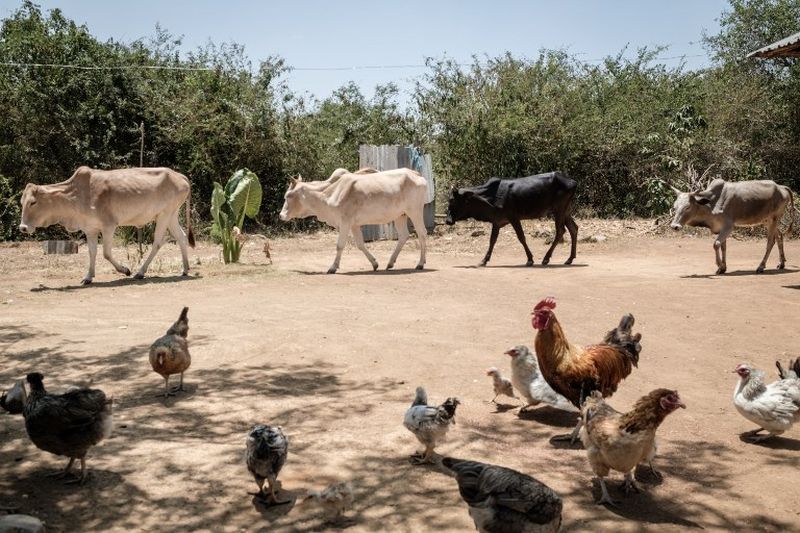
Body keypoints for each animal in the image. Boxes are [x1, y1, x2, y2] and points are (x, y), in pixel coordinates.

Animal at [18, 166, 195, 284]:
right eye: (21, 202)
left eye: (33, 202)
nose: (23, 227)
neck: (77, 194)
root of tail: (180, 176)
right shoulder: (90, 229)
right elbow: (92, 252)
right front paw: (88, 277)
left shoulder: (109, 226)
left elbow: (106, 253)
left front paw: (125, 270)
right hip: (171, 215)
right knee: (181, 237)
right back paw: (185, 269)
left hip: (165, 215)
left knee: (158, 242)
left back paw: (140, 272)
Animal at [279, 167, 428, 274]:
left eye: (288, 195)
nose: (281, 215)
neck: (329, 193)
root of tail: (416, 174)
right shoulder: (354, 225)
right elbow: (360, 244)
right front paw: (374, 263)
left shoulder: (345, 222)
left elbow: (340, 245)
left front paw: (333, 267)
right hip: (400, 215)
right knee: (403, 236)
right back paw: (390, 262)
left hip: (415, 211)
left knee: (422, 233)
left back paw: (420, 263)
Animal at [445, 171, 578, 267]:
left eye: (452, 201)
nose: (447, 221)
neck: (489, 198)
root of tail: (572, 181)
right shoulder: (497, 221)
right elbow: (492, 240)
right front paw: (484, 260)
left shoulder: (513, 217)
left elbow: (521, 237)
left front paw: (530, 259)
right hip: (565, 211)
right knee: (573, 228)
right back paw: (569, 259)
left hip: (559, 209)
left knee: (560, 231)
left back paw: (546, 259)